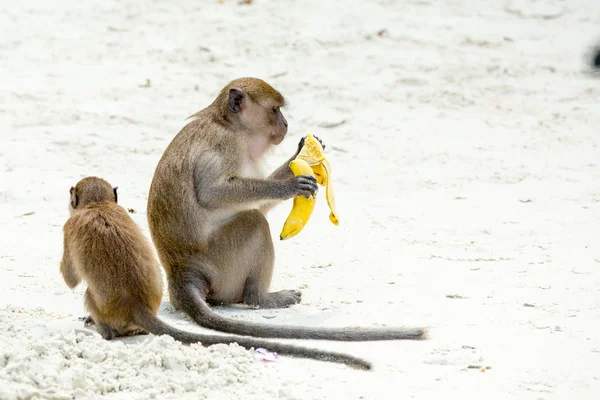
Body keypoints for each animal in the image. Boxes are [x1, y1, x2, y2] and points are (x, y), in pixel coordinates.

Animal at [146, 78, 426, 340]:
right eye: (275, 109)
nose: (286, 124)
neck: (229, 125)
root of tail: (182, 272)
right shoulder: (225, 144)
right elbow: (211, 192)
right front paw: (288, 185)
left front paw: (299, 154)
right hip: (221, 263)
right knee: (255, 222)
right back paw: (259, 298)